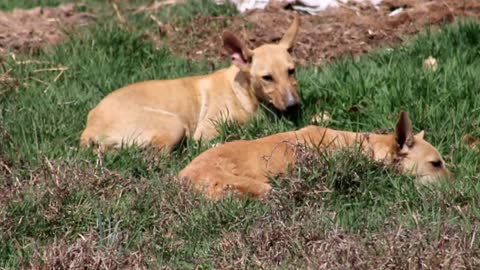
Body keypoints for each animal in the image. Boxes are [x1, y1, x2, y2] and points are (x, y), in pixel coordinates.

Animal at [81, 14, 302, 151]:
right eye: (267, 78)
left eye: (291, 71)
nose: (294, 106)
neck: (245, 94)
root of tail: (90, 126)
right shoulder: (206, 132)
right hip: (174, 124)